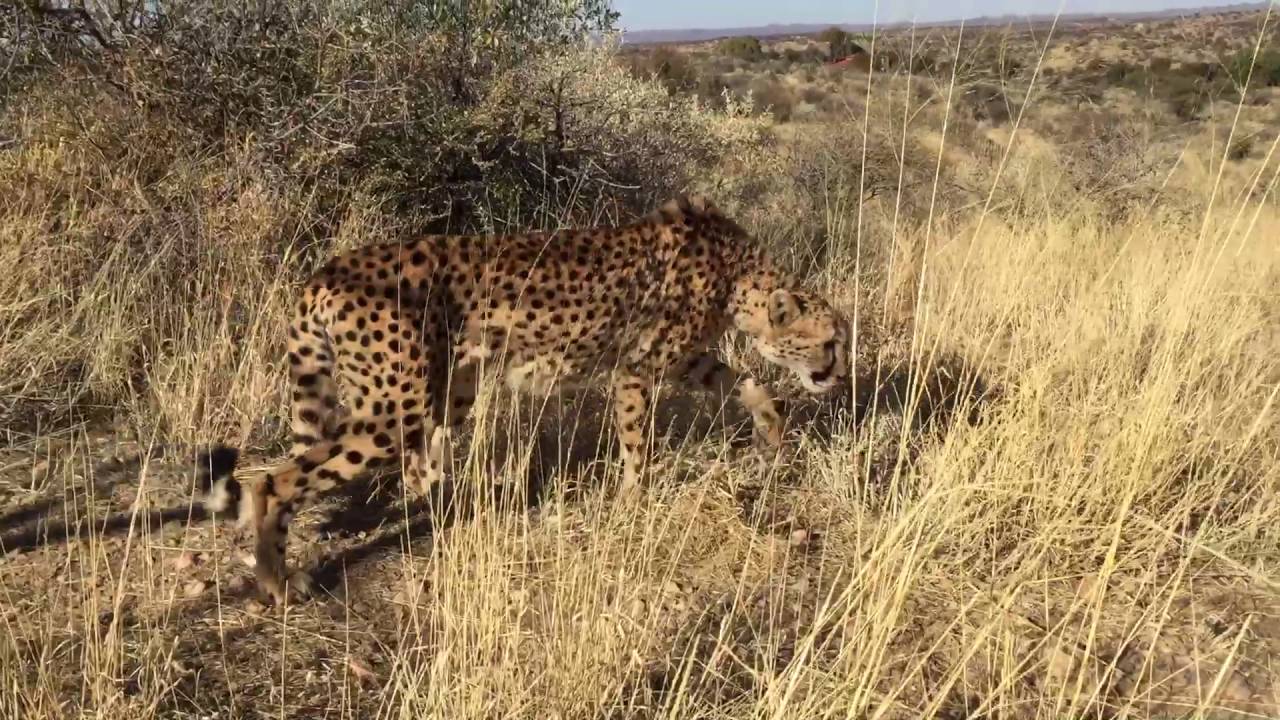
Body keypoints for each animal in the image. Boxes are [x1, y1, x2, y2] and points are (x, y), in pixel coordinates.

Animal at [197, 194, 850, 605]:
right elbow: (638, 446)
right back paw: (277, 581)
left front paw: (771, 430)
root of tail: (328, 270)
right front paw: (633, 503)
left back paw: (440, 508)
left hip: (445, 390)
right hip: (393, 408)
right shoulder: (635, 370)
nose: (839, 374)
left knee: (405, 465)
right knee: (273, 481)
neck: (739, 275)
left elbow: (746, 382)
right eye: (831, 341)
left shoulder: (684, 357)